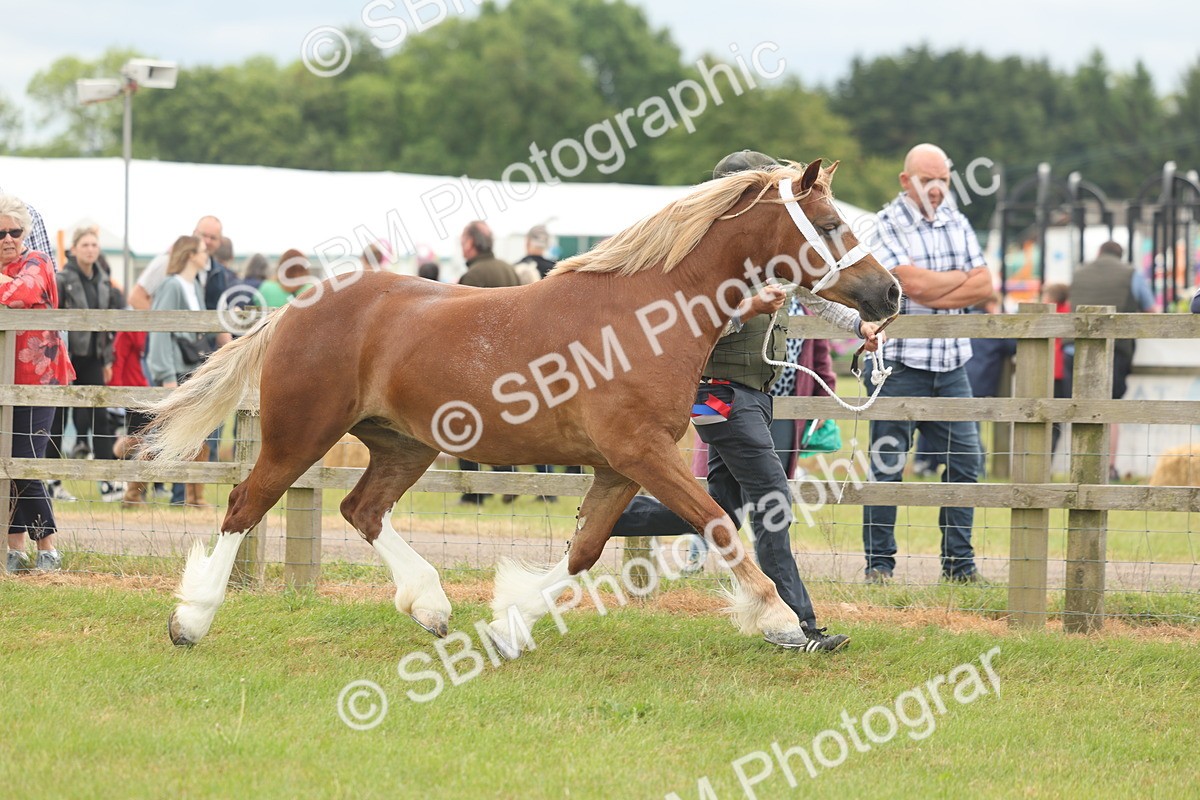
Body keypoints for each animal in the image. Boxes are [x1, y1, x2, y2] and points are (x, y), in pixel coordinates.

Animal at [143, 158, 901, 652]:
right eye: (830, 222)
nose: (889, 294)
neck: (647, 316)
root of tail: (296, 307)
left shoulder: (620, 467)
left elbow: (584, 551)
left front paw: (509, 621)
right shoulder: (643, 454)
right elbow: (717, 524)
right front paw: (778, 619)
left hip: (405, 443)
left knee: (361, 510)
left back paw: (431, 606)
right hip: (300, 434)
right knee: (245, 506)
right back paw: (191, 621)